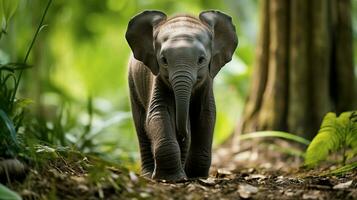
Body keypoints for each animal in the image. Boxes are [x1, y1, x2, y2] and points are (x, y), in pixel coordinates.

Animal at [125, 9, 236, 181]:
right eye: (163, 60)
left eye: (201, 60)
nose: (182, 134)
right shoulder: (157, 78)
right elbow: (157, 114)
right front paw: (171, 179)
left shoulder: (207, 81)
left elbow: (206, 115)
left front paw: (196, 176)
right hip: (132, 82)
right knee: (141, 125)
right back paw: (149, 174)